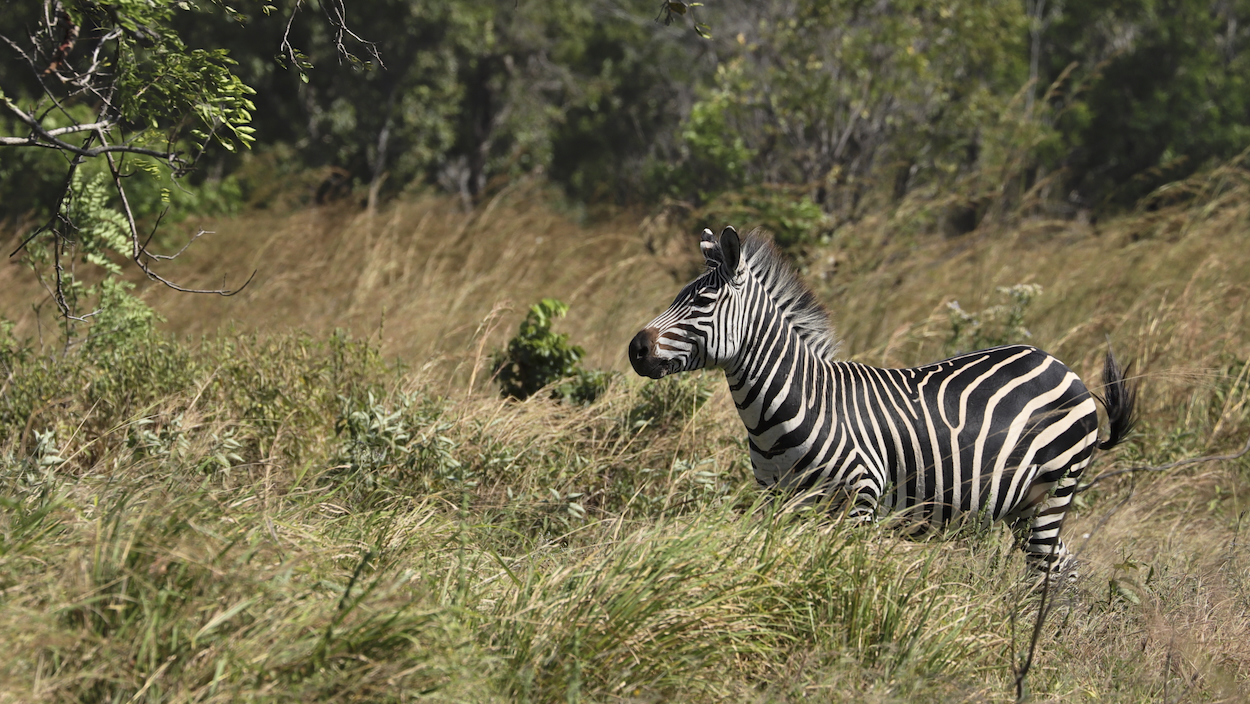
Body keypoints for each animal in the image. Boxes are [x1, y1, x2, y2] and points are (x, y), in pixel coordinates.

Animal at [630, 228, 1140, 575]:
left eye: (702, 303)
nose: (636, 349)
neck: (786, 407)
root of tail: (1060, 364)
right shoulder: (781, 504)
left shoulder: (859, 500)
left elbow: (835, 577)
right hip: (1025, 504)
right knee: (1061, 568)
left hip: (1056, 489)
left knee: (1047, 570)